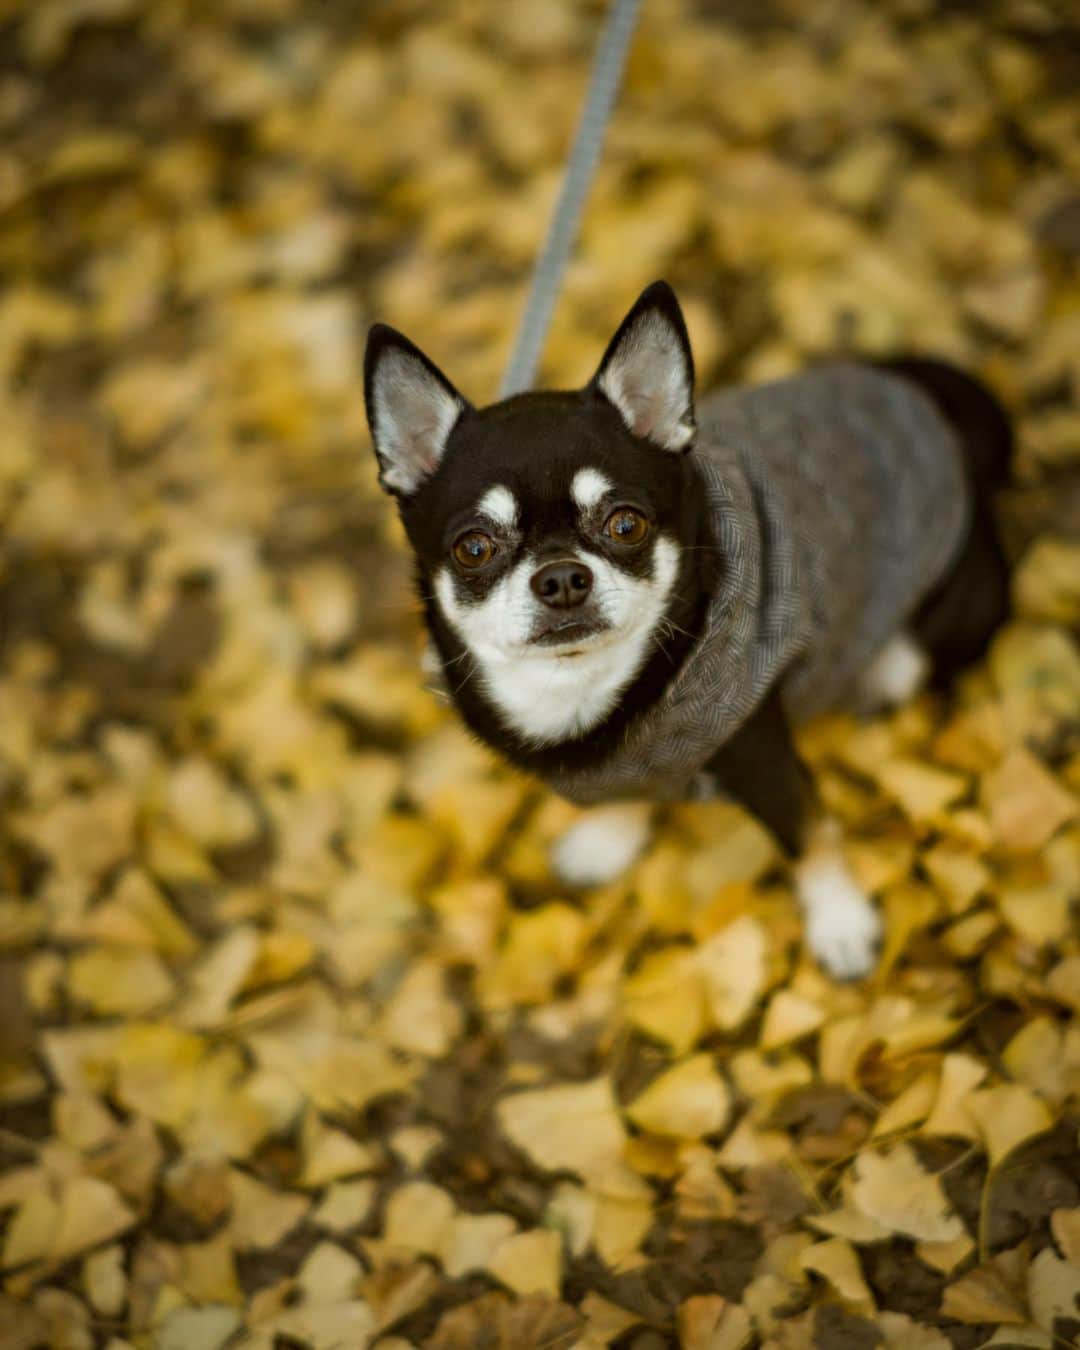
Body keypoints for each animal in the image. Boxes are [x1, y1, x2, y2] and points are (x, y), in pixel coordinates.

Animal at [361, 282, 1015, 982]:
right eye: (475, 548)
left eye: (626, 524)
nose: (561, 578)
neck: (583, 687)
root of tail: (934, 408)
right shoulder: (623, 761)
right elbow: (627, 792)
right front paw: (610, 837)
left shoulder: (764, 760)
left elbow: (812, 838)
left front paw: (841, 923)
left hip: (960, 603)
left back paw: (884, 669)